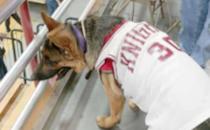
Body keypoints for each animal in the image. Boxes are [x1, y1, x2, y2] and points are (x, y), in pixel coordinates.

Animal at [33, 11, 210, 129]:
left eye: (50, 61)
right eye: (41, 55)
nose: (31, 77)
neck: (84, 37)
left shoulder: (113, 92)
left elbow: (115, 114)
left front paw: (107, 122)